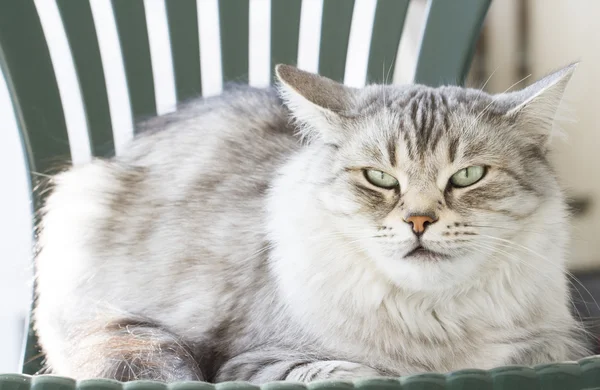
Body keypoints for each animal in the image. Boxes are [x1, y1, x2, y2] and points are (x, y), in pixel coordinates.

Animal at [31, 64, 584, 384]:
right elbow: (352, 373)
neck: (432, 323)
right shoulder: (257, 360)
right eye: (380, 178)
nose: (419, 220)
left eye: (468, 176)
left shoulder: (553, 346)